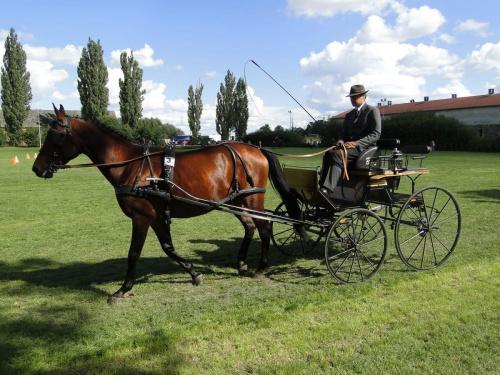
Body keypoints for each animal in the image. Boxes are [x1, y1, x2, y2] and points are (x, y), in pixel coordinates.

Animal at [33, 105, 306, 302]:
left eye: (54, 135)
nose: (36, 168)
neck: (132, 165)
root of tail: (256, 149)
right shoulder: (155, 217)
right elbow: (168, 247)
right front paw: (194, 273)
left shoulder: (141, 217)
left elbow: (133, 254)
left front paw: (123, 289)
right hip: (236, 201)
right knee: (250, 227)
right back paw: (241, 263)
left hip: (252, 199)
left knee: (264, 229)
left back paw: (261, 267)